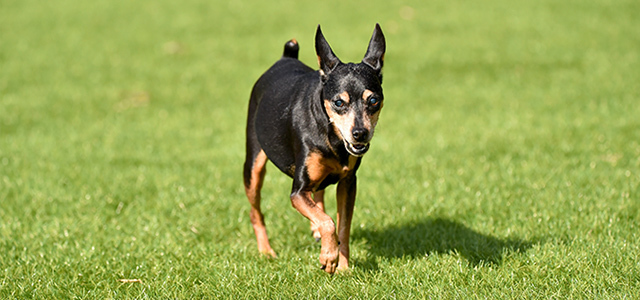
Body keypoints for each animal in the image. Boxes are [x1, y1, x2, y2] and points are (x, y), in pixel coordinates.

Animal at [244, 24, 384, 274]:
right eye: (338, 102)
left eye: (373, 100)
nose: (360, 133)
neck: (333, 139)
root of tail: (286, 57)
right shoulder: (298, 191)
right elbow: (328, 221)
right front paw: (329, 257)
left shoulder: (348, 183)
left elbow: (342, 227)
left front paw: (343, 267)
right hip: (253, 165)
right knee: (255, 211)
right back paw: (266, 251)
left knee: (318, 195)